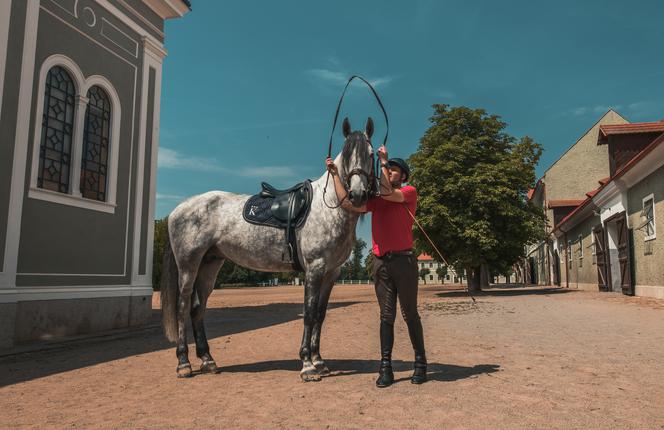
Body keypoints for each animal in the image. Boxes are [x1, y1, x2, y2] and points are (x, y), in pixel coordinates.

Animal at [161, 116, 376, 380]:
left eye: (371, 154)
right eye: (346, 155)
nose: (357, 194)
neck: (328, 207)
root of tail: (179, 209)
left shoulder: (331, 273)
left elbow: (320, 315)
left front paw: (319, 361)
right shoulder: (314, 269)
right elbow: (309, 313)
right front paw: (307, 365)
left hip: (209, 266)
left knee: (197, 310)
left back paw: (208, 360)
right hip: (188, 266)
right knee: (182, 308)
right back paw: (183, 363)